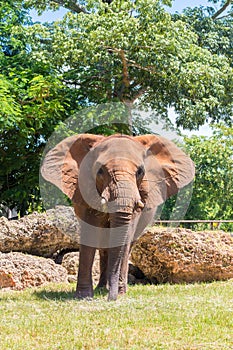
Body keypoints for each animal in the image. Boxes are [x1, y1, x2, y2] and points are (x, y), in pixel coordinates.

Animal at [41, 134, 195, 300]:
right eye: (100, 171)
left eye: (140, 171)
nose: (111, 299)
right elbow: (90, 232)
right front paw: (84, 296)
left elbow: (125, 237)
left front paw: (119, 293)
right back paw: (102, 288)